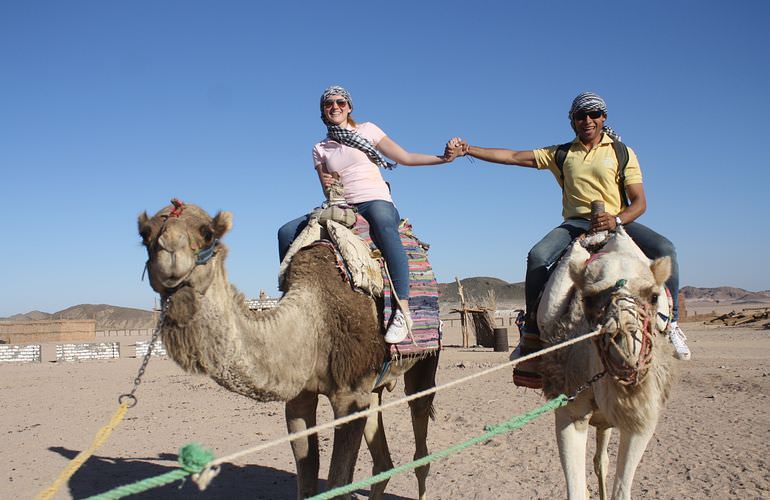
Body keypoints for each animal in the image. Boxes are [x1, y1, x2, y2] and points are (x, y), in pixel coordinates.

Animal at [138, 201, 438, 498]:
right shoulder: (300, 399)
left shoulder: (349, 395)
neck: (313, 321)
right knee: (383, 462)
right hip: (373, 387)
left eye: (207, 233)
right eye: (145, 234)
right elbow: (307, 479)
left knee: (421, 442)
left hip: (423, 363)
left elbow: (338, 485)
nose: (170, 252)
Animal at [536, 228, 672, 500]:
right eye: (588, 299)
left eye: (654, 296)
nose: (627, 352)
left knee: (602, 460)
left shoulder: (643, 418)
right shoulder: (569, 411)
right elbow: (576, 490)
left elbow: (622, 490)